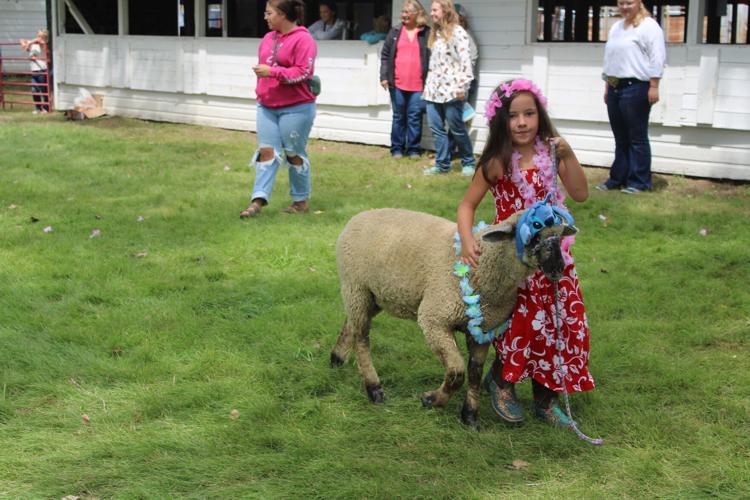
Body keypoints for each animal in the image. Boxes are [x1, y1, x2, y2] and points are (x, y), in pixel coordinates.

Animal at [330, 204, 577, 429]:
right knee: (361, 338)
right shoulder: (434, 319)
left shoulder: (483, 330)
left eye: (559, 235)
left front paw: (470, 417)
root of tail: (360, 215)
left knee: (350, 325)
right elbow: (457, 371)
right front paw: (432, 400)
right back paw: (374, 389)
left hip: (374, 296)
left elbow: (475, 373)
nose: (557, 267)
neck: (484, 264)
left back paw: (336, 358)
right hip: (356, 287)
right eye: (533, 234)